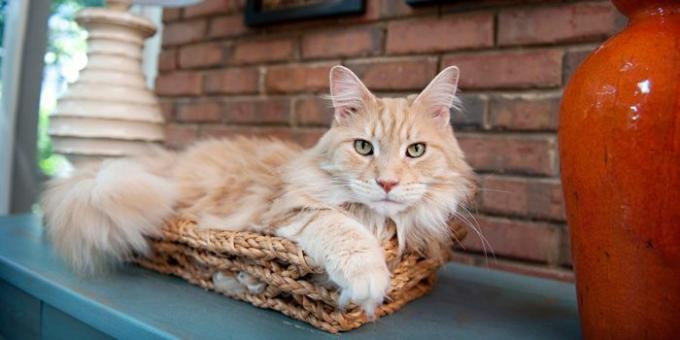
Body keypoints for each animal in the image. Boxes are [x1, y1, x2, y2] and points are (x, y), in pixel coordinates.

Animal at [41, 64, 472, 316]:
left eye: (415, 151)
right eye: (364, 147)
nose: (387, 182)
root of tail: (166, 163)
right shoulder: (289, 211)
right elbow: (343, 231)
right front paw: (366, 286)